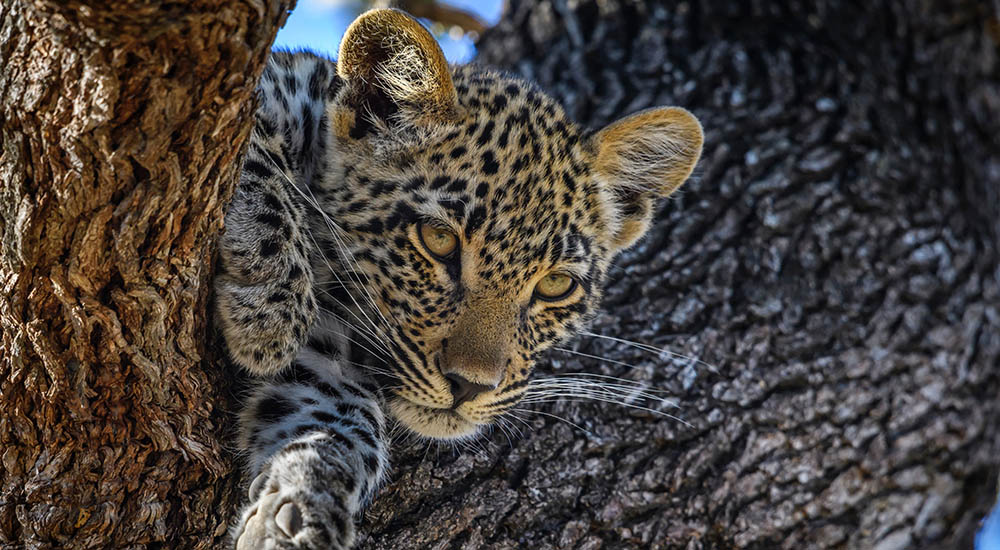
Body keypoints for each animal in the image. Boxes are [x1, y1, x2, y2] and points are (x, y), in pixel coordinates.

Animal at [214, 8, 703, 549]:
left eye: (555, 285)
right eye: (439, 240)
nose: (469, 387)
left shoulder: (329, 363)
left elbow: (338, 423)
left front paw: (298, 510)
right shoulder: (276, 85)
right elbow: (252, 146)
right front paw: (270, 313)